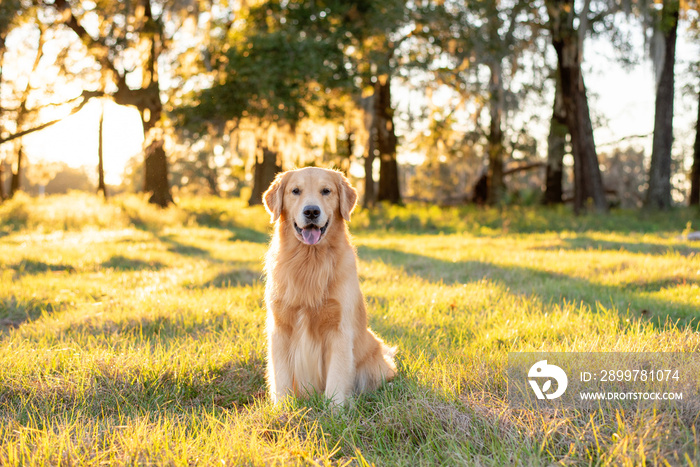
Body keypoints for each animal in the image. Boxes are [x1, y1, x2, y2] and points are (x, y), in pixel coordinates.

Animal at [262, 167, 396, 406]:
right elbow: (282, 377)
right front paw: (283, 408)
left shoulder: (339, 329)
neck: (310, 261)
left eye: (326, 191)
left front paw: (336, 410)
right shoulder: (280, 327)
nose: (311, 211)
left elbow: (337, 378)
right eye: (295, 191)